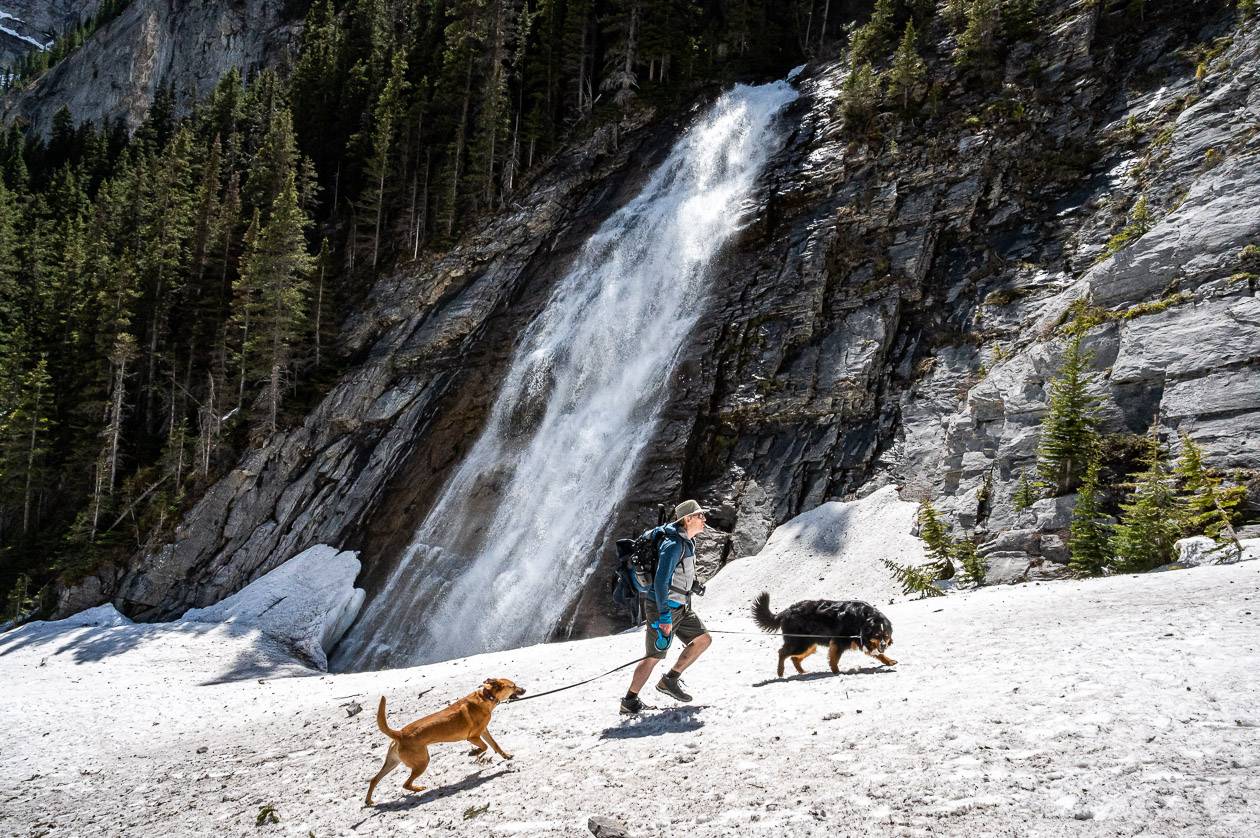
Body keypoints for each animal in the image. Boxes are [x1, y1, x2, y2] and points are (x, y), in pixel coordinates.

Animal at [365, 675, 526, 806]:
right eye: (513, 686)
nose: (524, 689)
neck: (487, 697)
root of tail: (399, 734)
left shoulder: (484, 731)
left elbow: (495, 745)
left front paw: (506, 756)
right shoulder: (473, 736)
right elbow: (485, 747)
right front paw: (474, 753)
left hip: (392, 762)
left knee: (374, 779)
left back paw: (369, 801)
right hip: (422, 762)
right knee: (405, 784)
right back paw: (418, 788)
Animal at [745, 592, 897, 675]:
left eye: (886, 636)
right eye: (877, 635)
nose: (884, 645)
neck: (863, 618)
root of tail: (787, 611)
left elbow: (878, 654)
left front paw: (888, 661)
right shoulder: (839, 640)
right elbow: (834, 659)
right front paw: (836, 671)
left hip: (809, 644)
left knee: (794, 658)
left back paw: (802, 672)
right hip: (800, 642)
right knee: (782, 653)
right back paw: (780, 671)